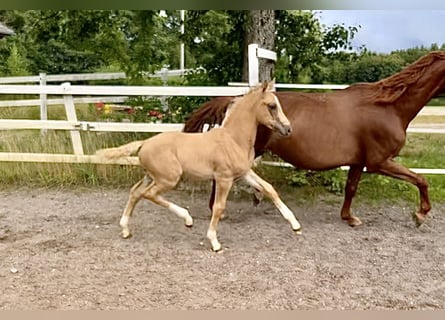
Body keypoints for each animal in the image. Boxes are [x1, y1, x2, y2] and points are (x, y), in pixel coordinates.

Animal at [95, 80, 300, 252]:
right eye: (272, 106)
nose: (288, 129)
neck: (233, 139)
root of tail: (144, 143)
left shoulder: (244, 173)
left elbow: (269, 188)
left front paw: (295, 225)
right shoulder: (224, 178)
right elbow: (219, 207)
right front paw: (214, 242)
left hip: (151, 176)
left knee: (135, 192)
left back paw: (125, 230)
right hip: (169, 179)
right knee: (149, 194)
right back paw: (187, 219)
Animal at [185, 50, 445, 228]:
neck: (388, 108)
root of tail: (235, 100)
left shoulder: (358, 162)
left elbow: (351, 188)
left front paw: (349, 217)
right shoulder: (379, 162)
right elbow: (421, 179)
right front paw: (420, 214)